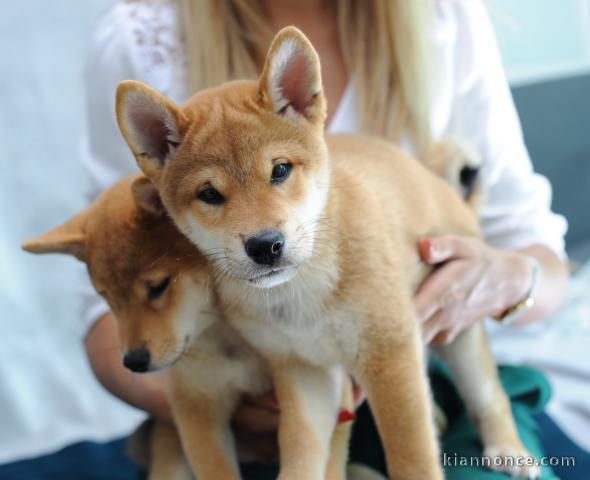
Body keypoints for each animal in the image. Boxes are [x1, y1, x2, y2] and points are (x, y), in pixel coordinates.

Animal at [118, 27, 544, 480]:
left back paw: (508, 449)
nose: (265, 245)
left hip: (459, 327)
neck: (299, 293)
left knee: (488, 396)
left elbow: (411, 453)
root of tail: (435, 181)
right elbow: (301, 449)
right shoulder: (304, 372)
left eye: (280, 170)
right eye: (209, 194)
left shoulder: (389, 354)